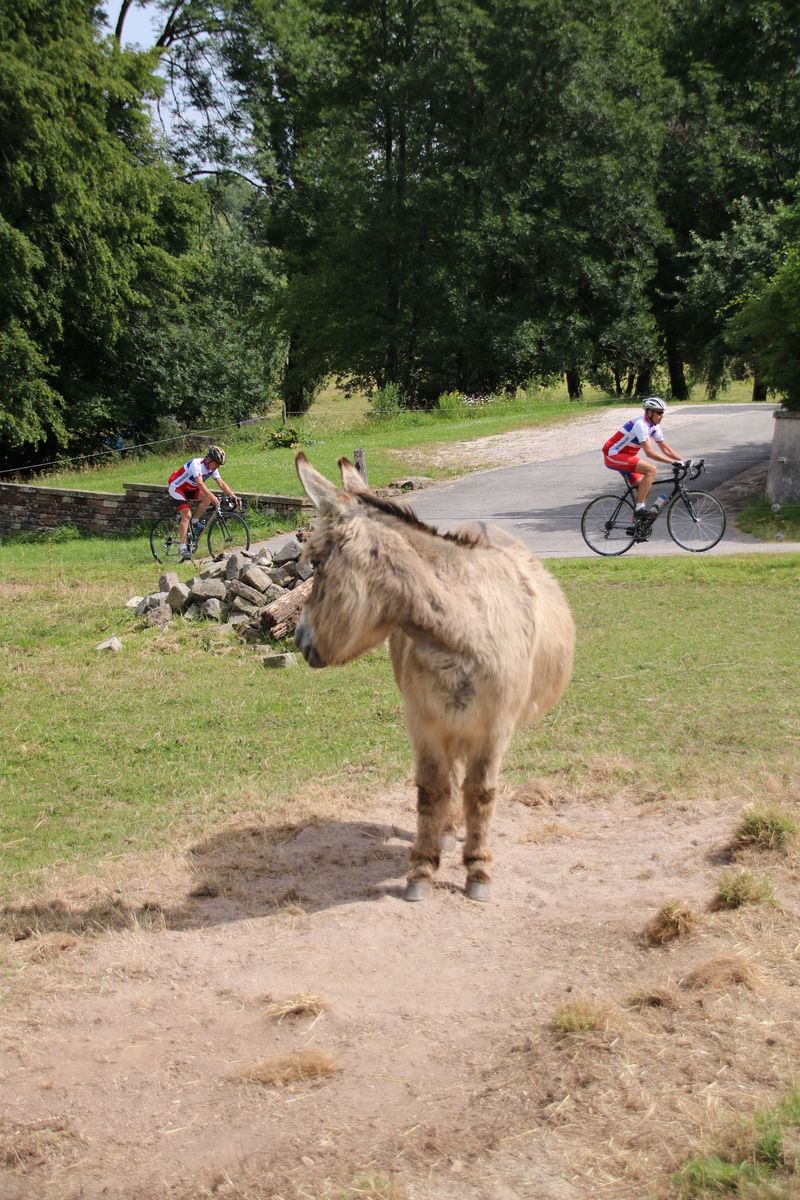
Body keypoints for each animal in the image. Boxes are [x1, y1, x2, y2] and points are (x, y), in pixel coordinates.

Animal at [293, 452, 576, 902]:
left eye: (317, 565)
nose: (300, 639)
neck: (460, 631)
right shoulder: (423, 723)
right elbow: (431, 790)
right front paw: (423, 869)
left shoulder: (494, 728)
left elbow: (481, 793)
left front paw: (478, 871)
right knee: (450, 780)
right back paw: (446, 832)